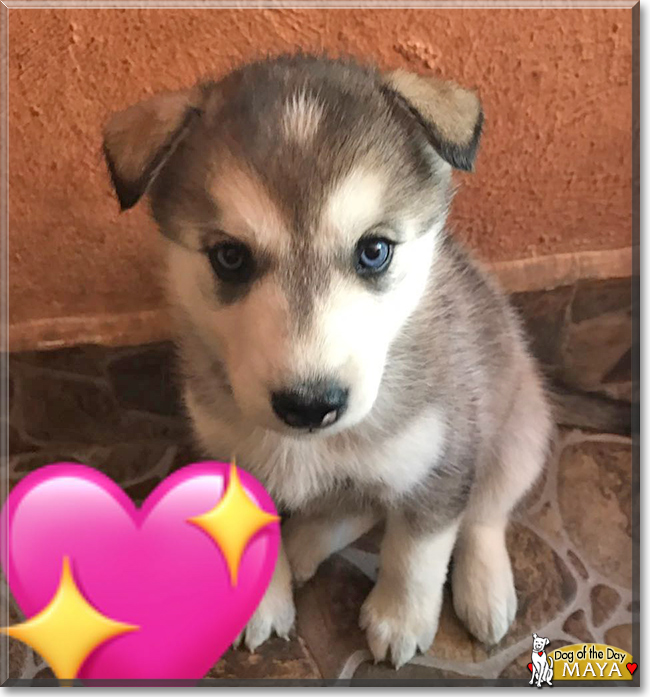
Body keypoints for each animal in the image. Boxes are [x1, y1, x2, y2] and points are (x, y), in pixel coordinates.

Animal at [104, 53, 548, 664]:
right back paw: (305, 543)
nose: (310, 406)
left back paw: (484, 589)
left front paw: (401, 618)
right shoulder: (230, 453)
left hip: (519, 428)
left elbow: (418, 551)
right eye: (229, 257)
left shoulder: (442, 456)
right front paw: (264, 596)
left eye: (375, 250)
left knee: (484, 512)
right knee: (356, 504)